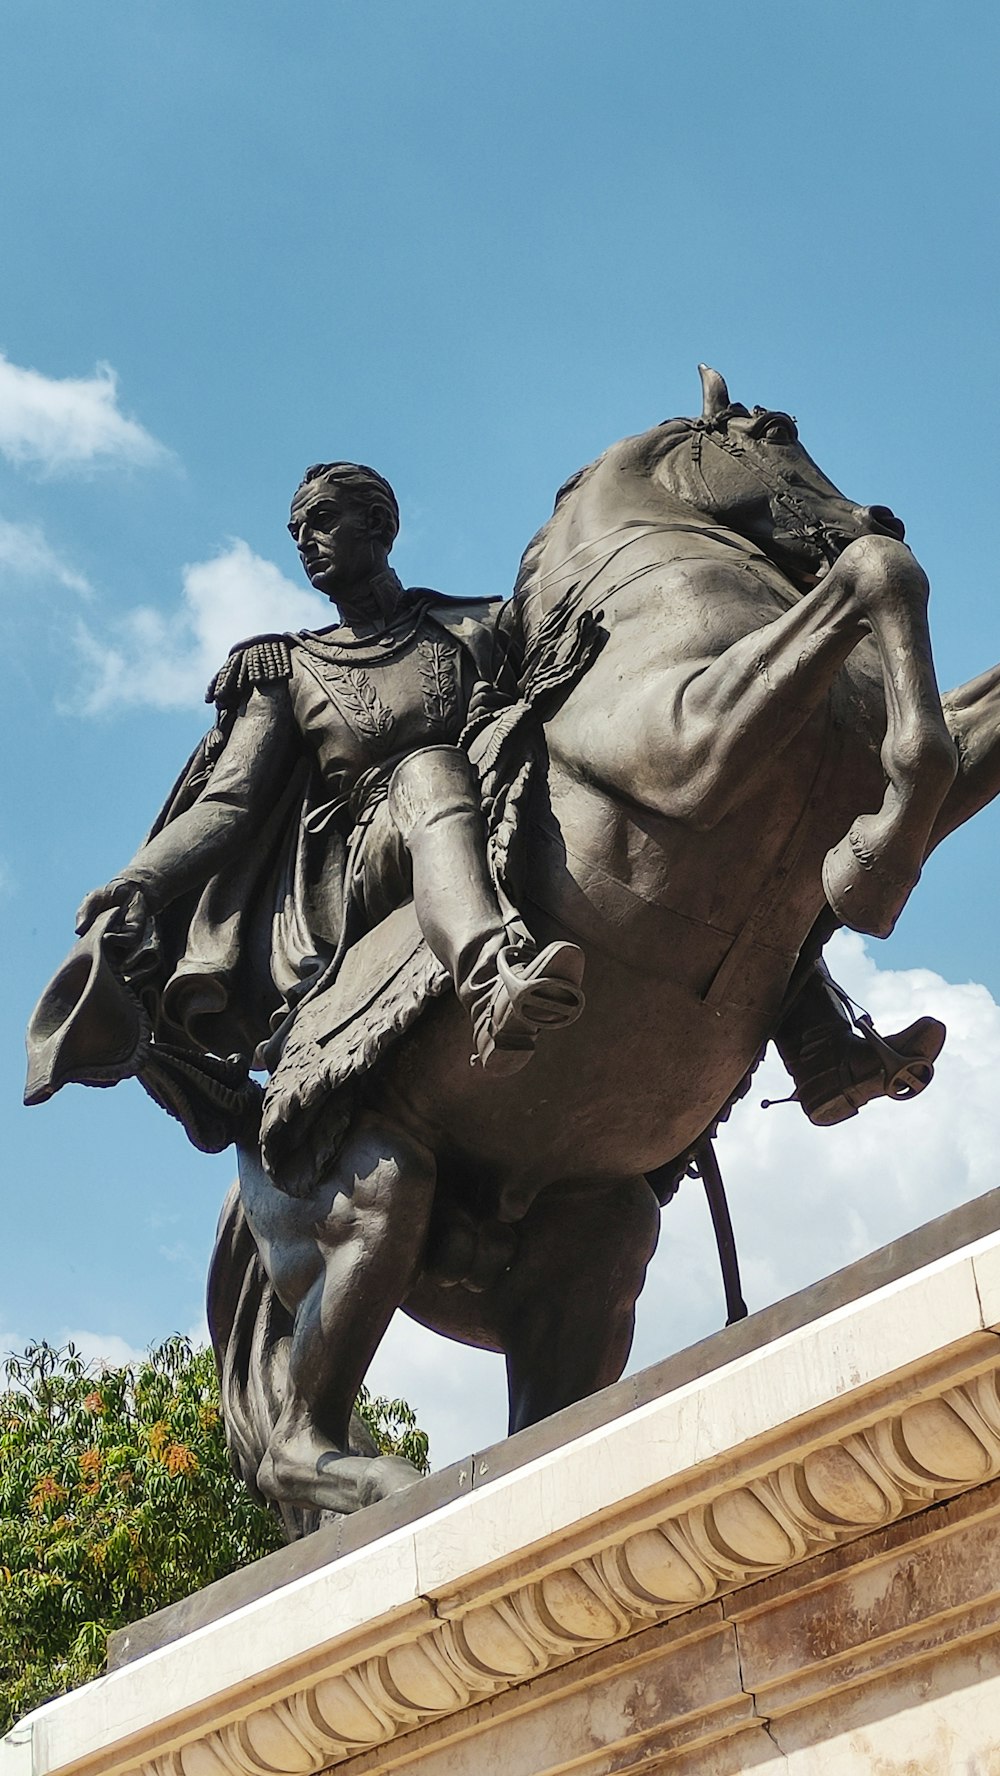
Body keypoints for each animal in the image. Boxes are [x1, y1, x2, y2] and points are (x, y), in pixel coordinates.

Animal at [207, 371, 994, 1527]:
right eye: (775, 435)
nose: (875, 513)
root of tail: (244, 1135)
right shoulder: (692, 741)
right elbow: (877, 581)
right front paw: (872, 870)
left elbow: (948, 728)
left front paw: (870, 866)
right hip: (370, 1193)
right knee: (296, 1430)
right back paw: (377, 1481)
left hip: (598, 1242)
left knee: (543, 1404)